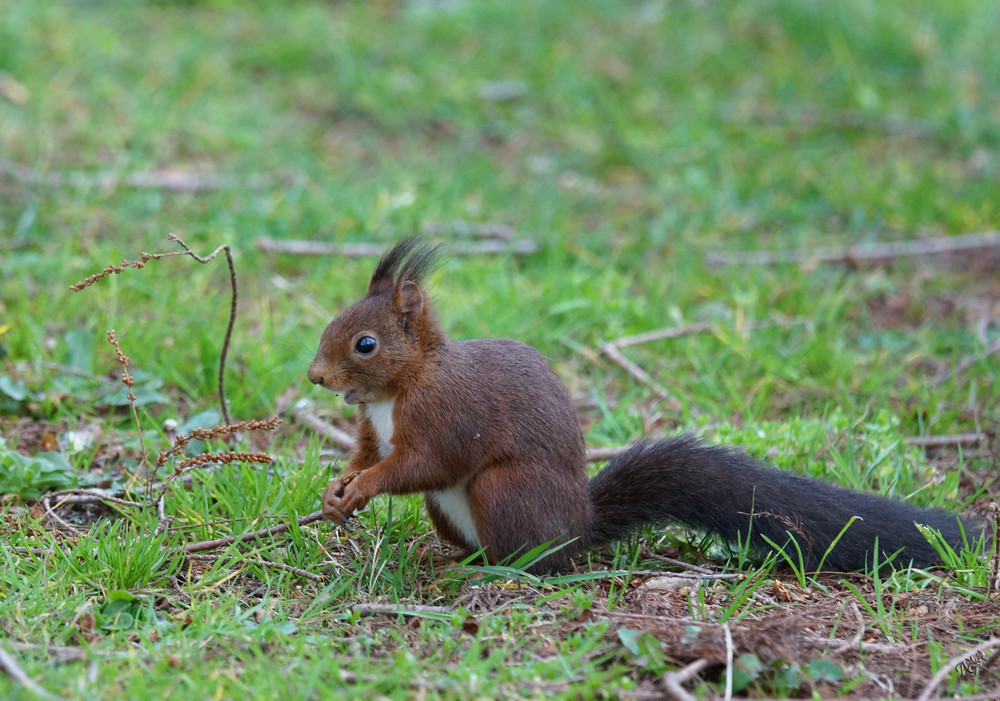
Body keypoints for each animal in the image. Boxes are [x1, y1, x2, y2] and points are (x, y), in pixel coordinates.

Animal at [308, 241, 980, 576]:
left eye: (365, 343)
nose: (314, 376)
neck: (399, 389)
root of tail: (579, 528)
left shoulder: (448, 417)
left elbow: (422, 464)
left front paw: (363, 487)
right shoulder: (371, 427)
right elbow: (366, 452)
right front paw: (337, 489)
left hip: (505, 491)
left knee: (531, 560)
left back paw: (485, 572)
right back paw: (447, 555)